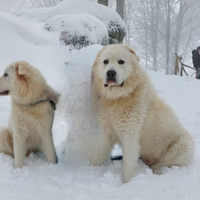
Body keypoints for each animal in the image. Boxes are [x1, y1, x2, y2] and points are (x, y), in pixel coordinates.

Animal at [88, 44, 195, 184]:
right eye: (105, 61)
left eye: (121, 62)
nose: (110, 73)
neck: (118, 98)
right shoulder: (105, 132)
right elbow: (97, 154)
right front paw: (89, 171)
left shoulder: (130, 135)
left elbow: (128, 166)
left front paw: (127, 184)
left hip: (183, 147)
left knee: (158, 165)